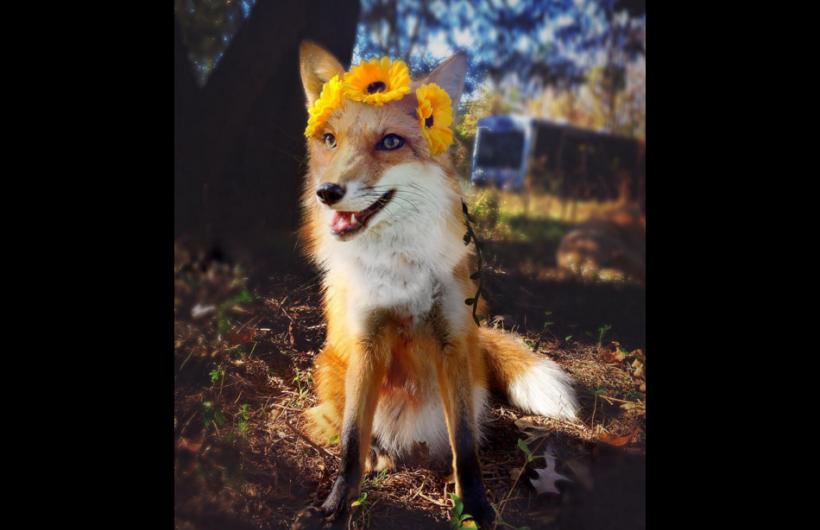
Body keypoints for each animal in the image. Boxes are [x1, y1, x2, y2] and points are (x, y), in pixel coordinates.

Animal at [297, 41, 579, 527]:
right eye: (330, 139)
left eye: (390, 142)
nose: (328, 192)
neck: (402, 269)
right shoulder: (368, 342)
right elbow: (351, 442)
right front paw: (338, 503)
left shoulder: (452, 341)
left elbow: (465, 448)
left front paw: (477, 507)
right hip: (331, 367)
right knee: (336, 426)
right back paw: (377, 455)